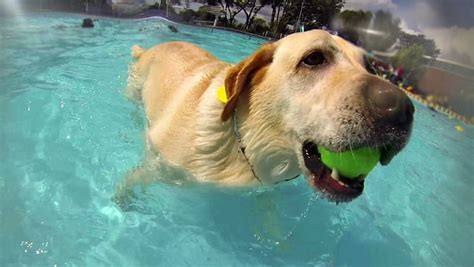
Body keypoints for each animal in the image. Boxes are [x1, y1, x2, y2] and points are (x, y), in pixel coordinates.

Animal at [115, 29, 414, 204]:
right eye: (314, 58)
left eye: (370, 67)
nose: (401, 109)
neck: (243, 146)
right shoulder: (156, 165)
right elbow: (128, 184)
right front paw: (119, 206)